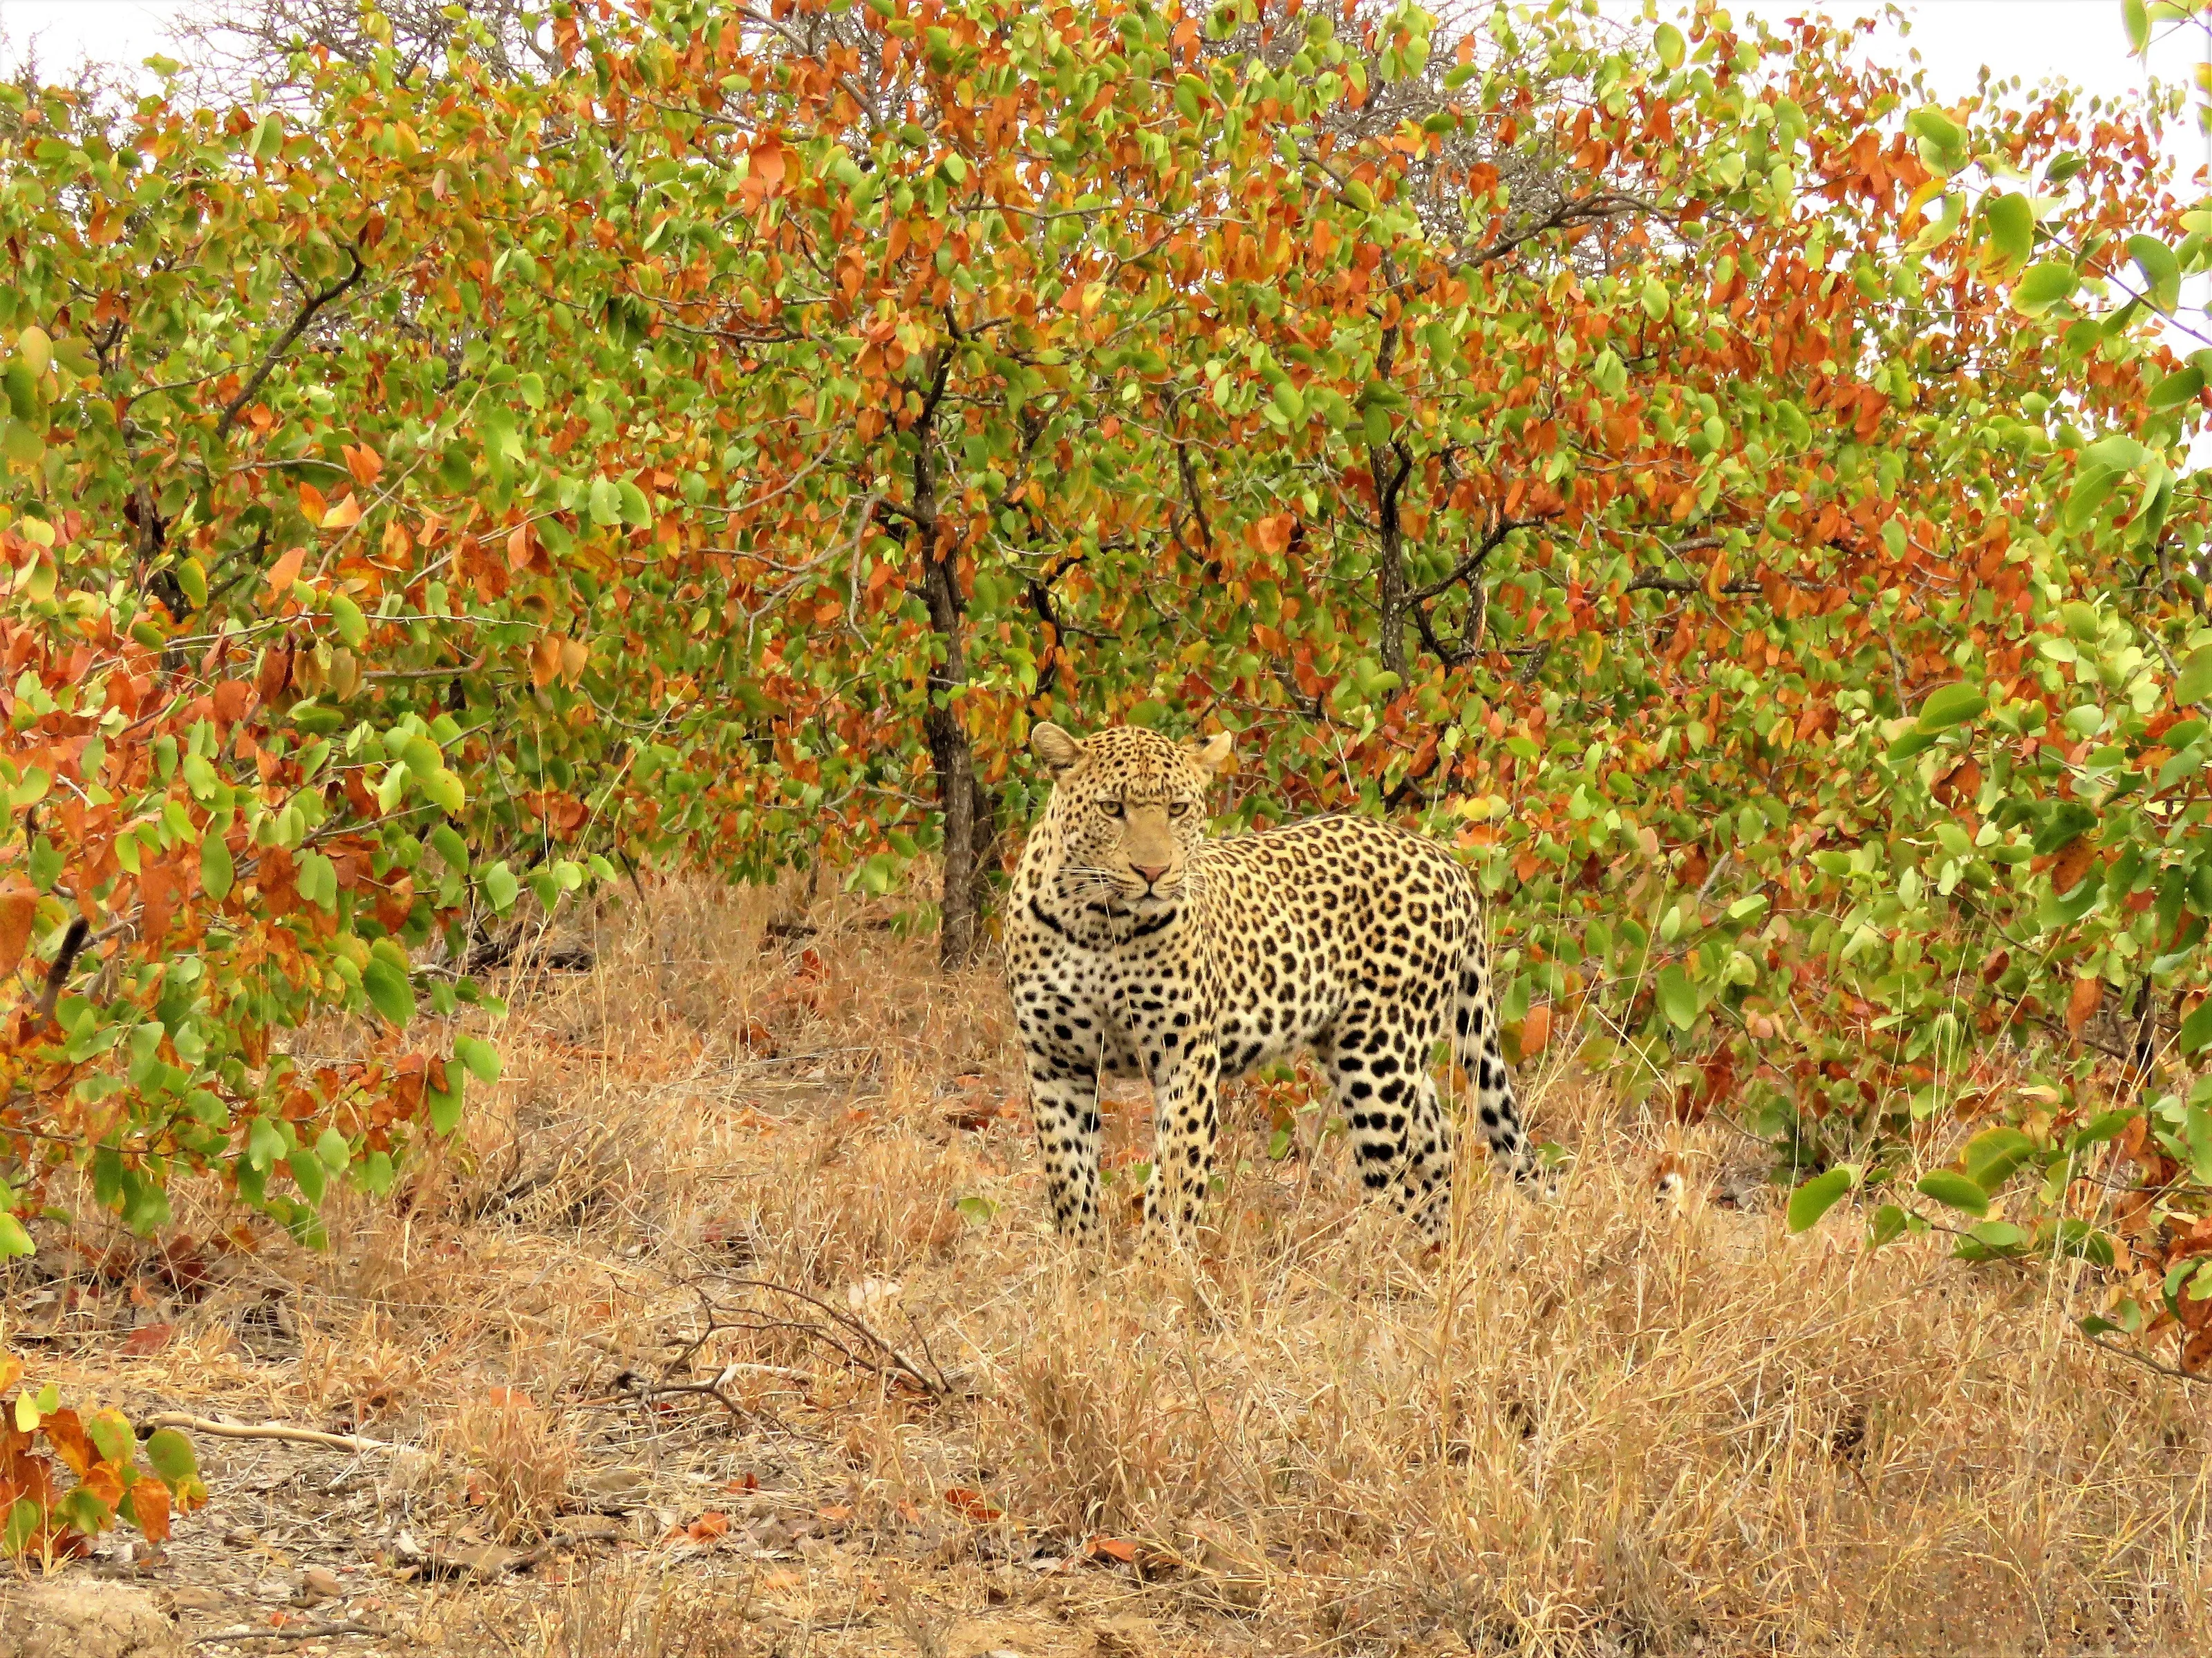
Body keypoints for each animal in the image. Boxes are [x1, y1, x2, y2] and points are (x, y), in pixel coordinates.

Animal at [1004, 720, 1536, 1252]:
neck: (1098, 925)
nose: (1153, 873)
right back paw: (1429, 1249)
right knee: (1433, 1145)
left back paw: (1341, 1258)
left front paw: (1156, 1263)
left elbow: (1175, 1178)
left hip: (1380, 1052)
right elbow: (1069, 1179)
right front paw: (1084, 1258)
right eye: (1113, 808)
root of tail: (1444, 859)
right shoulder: (1055, 1063)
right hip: (1367, 1046)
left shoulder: (1187, 1057)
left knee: (1391, 1176)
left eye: (1177, 808)